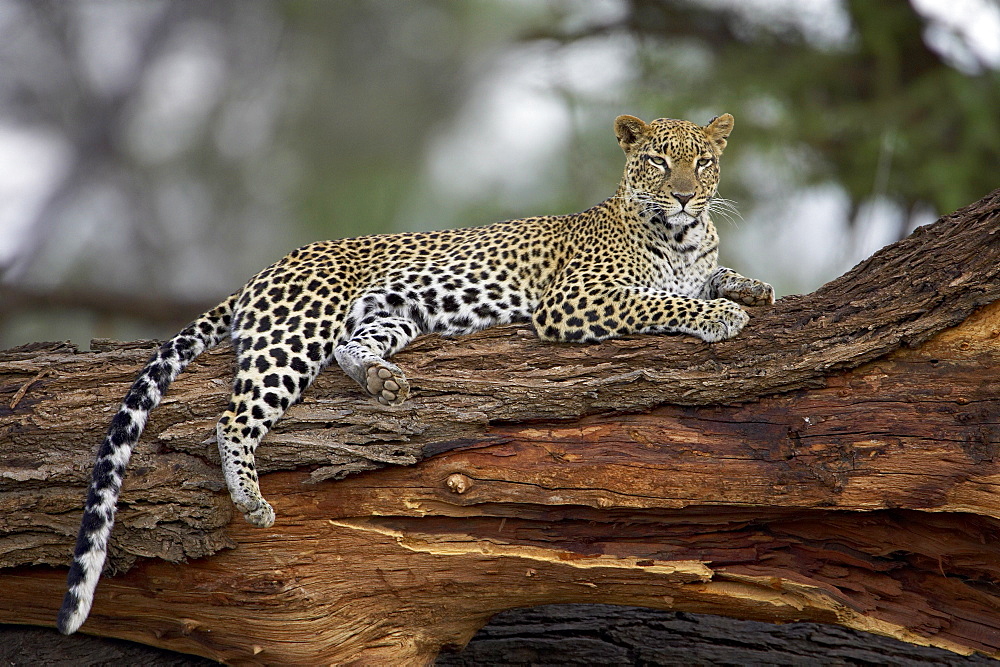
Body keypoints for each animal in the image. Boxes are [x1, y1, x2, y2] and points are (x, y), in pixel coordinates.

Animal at [56, 112, 772, 636]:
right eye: (659, 161)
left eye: (703, 161)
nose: (685, 195)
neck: (684, 238)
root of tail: (268, 268)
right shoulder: (577, 301)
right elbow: (663, 300)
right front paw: (721, 315)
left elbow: (714, 277)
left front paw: (751, 286)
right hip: (297, 330)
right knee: (234, 415)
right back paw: (251, 498)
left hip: (394, 316)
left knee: (351, 350)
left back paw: (384, 382)